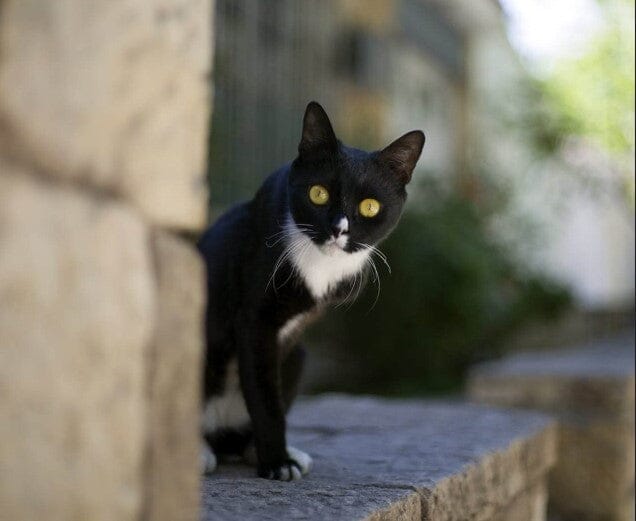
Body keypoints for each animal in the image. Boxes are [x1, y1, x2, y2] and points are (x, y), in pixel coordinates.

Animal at [198, 100, 428, 480]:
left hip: (297, 355)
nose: (338, 229)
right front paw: (277, 463)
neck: (320, 266)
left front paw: (278, 456)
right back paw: (201, 452)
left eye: (369, 206)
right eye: (318, 193)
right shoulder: (254, 321)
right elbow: (264, 397)